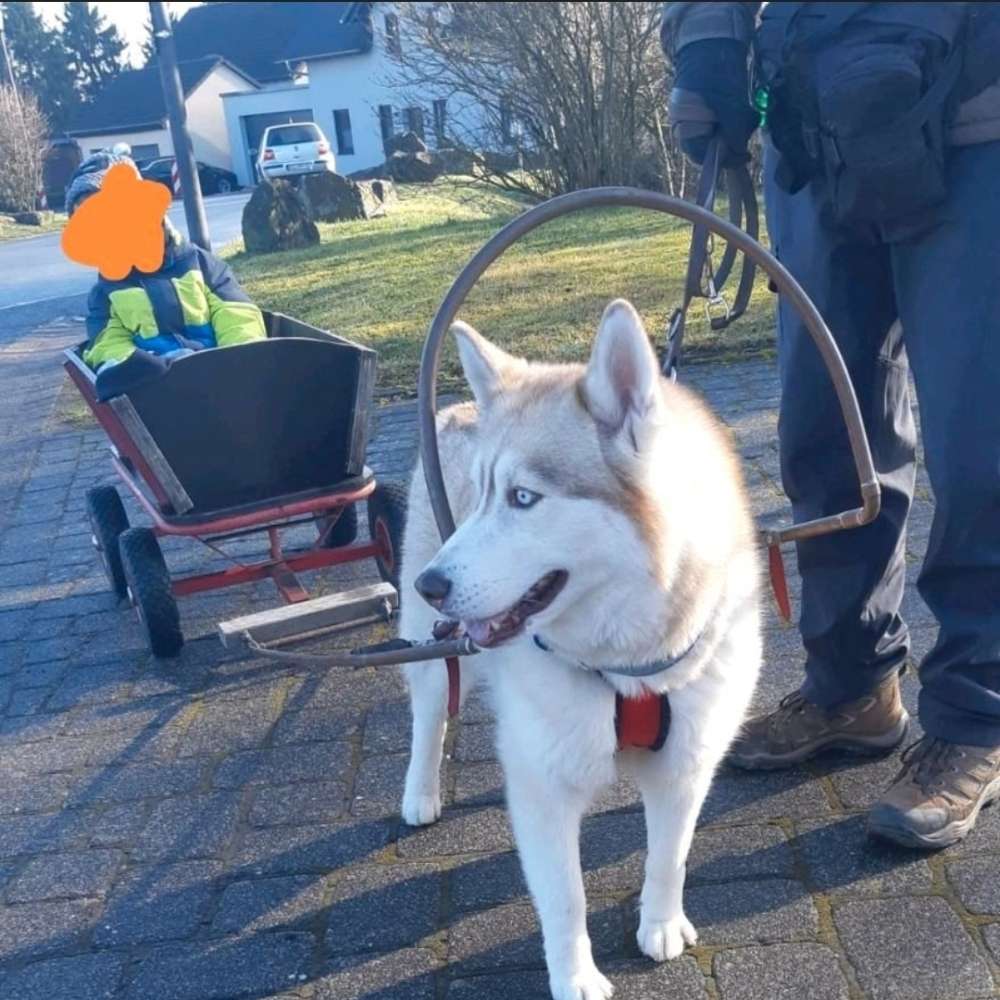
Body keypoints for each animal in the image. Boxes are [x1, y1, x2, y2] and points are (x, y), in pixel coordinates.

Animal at [394, 300, 760, 996]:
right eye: (482, 494)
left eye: (523, 498)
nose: (432, 582)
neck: (628, 665)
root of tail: (457, 410)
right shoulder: (546, 789)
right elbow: (565, 898)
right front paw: (575, 976)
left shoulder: (687, 763)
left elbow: (670, 856)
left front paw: (660, 922)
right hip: (429, 652)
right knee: (429, 715)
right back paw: (420, 793)